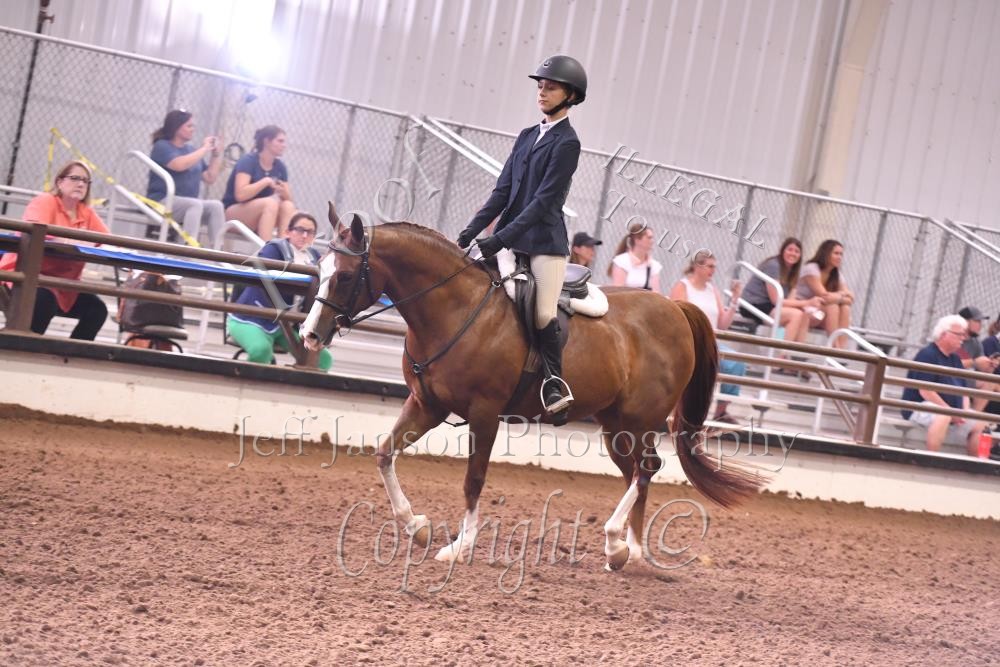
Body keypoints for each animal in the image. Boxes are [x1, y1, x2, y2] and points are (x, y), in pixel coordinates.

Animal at [302, 208, 764, 571]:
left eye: (345, 275)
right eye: (321, 269)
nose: (310, 335)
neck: (454, 309)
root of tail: (675, 307)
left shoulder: (485, 413)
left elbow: (473, 479)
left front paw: (460, 547)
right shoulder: (426, 404)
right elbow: (384, 454)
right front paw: (416, 527)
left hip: (640, 419)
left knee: (646, 469)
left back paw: (616, 540)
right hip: (616, 426)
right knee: (637, 473)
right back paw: (626, 551)